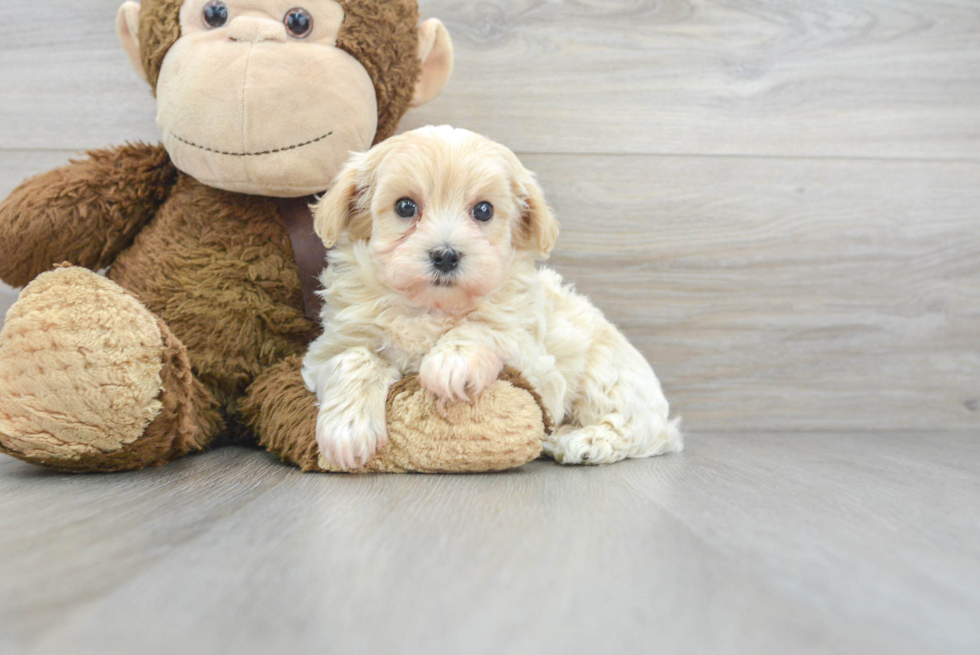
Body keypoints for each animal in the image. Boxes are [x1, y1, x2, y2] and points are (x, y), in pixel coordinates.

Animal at [304, 124, 680, 472]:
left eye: (483, 210)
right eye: (405, 207)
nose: (445, 255)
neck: (432, 307)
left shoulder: (538, 368)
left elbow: (486, 327)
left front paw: (451, 362)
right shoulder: (328, 349)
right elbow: (355, 360)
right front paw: (347, 429)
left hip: (606, 376)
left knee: (642, 430)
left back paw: (583, 441)